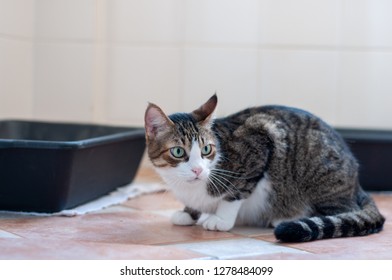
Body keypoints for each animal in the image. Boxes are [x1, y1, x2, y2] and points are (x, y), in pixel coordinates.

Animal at [142, 94, 384, 243]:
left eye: (206, 150)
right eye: (178, 152)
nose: (198, 170)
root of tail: (357, 186)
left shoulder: (259, 141)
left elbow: (235, 193)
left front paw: (221, 220)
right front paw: (188, 213)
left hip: (322, 176)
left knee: (345, 211)